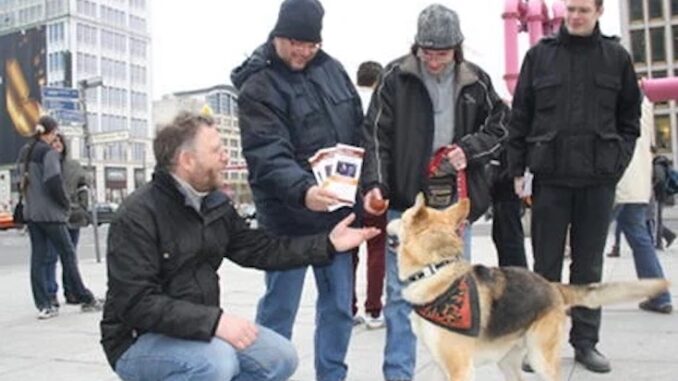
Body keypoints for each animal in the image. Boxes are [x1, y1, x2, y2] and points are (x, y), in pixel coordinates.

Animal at [388, 194, 668, 378]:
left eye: (402, 218)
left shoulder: (460, 369)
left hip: (541, 358)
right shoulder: (442, 366)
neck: (436, 269)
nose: (387, 215)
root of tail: (553, 286)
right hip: (509, 361)